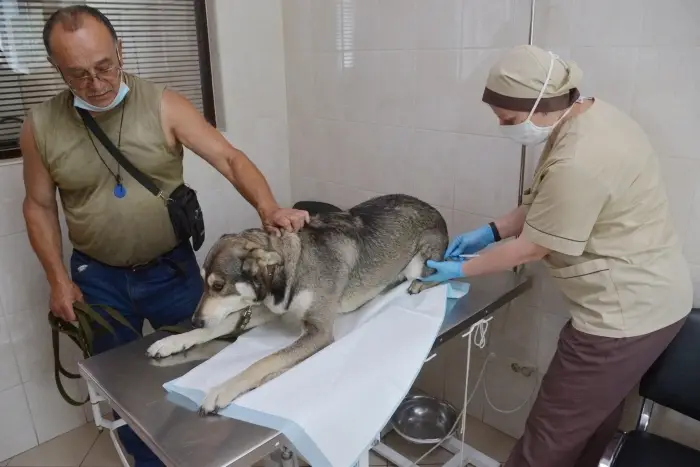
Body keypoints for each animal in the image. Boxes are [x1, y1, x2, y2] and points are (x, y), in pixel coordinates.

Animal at [146, 193, 448, 414]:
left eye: (219, 286)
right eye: (203, 283)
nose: (195, 319)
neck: (292, 268)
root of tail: (435, 210)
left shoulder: (319, 331)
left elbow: (263, 362)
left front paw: (221, 389)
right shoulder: (269, 310)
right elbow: (219, 326)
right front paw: (172, 341)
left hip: (419, 263)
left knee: (446, 272)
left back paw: (418, 283)